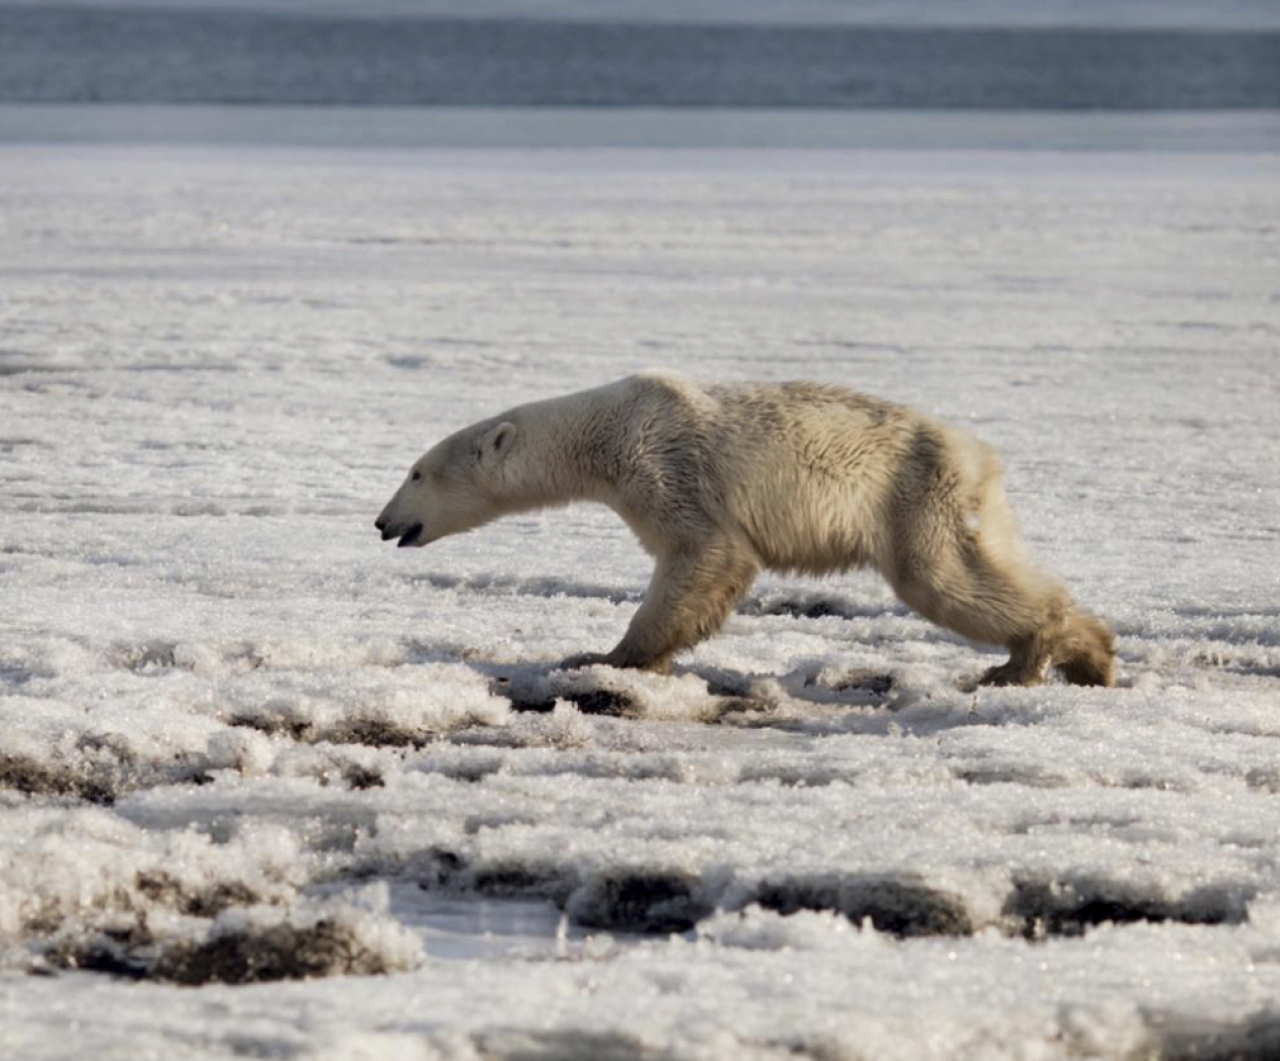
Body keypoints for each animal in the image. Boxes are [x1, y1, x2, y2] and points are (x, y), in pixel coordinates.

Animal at [375, 373, 1115, 686]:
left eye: (415, 472)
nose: (383, 523)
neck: (606, 431)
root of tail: (979, 455)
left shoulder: (665, 464)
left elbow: (704, 554)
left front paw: (604, 656)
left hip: (914, 493)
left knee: (943, 579)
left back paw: (1030, 659)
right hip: (960, 502)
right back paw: (1085, 652)